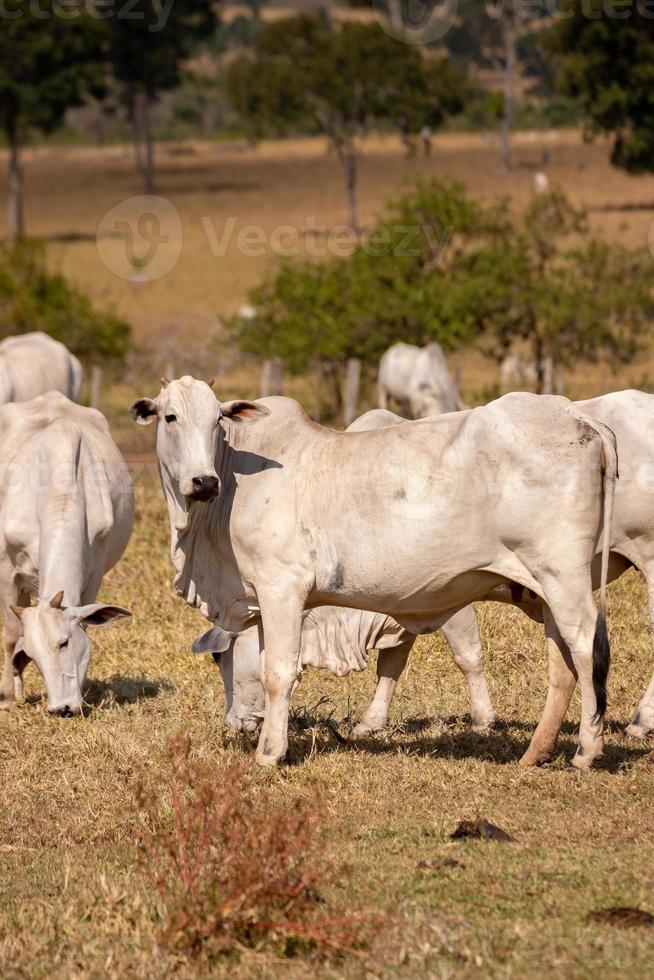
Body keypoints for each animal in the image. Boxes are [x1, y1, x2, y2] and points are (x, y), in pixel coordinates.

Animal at [0, 392, 133, 720]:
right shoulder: (7, 572)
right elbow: (10, 636)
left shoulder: (95, 572)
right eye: (32, 655)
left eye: (63, 643)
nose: (61, 709)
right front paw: (6, 696)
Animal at [132, 378, 616, 768]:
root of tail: (575, 414)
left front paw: (269, 754)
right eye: (170, 417)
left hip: (563, 575)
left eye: (217, 419)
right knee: (562, 663)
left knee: (584, 643)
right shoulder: (267, 598)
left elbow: (280, 673)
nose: (203, 481)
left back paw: (587, 750)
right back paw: (537, 752)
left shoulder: (282, 587)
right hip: (546, 586)